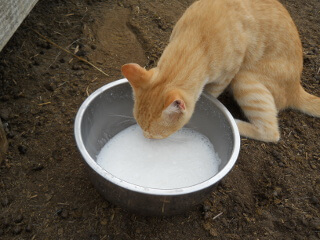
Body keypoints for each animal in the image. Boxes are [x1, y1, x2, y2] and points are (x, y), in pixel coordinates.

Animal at [120, 0, 320, 142]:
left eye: (156, 135)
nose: (145, 138)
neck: (195, 38)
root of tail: (297, 87)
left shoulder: (225, 76)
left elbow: (211, 94)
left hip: (245, 79)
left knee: (271, 133)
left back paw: (237, 125)